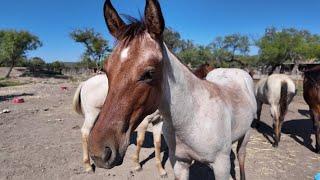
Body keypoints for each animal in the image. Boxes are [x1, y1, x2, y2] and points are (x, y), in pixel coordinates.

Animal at [88, 0, 258, 179]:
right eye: (106, 70)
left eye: (149, 73)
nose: (99, 152)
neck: (191, 119)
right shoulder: (179, 163)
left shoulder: (221, 167)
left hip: (246, 135)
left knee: (241, 156)